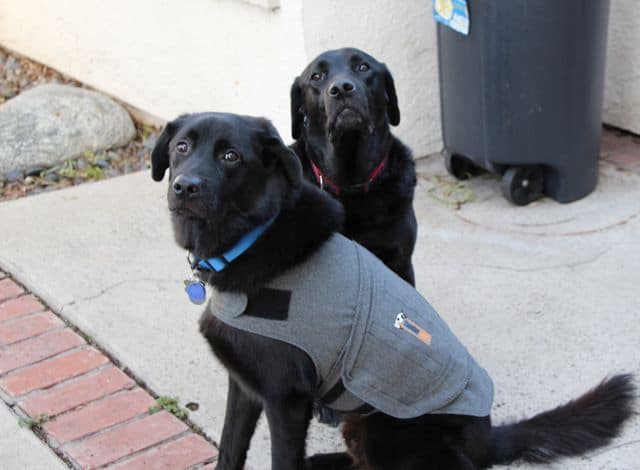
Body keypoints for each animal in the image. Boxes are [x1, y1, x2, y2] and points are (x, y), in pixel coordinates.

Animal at [151, 114, 636, 470]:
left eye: (231, 156)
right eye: (182, 147)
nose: (185, 187)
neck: (251, 238)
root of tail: (486, 439)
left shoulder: (285, 400)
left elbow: (281, 460)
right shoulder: (244, 386)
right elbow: (230, 449)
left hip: (387, 428)